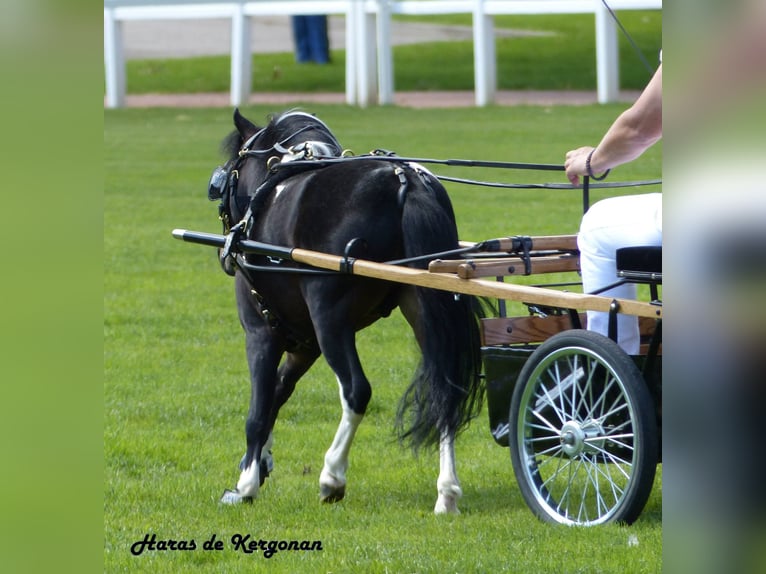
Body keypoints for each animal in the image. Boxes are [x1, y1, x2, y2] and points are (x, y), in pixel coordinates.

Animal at [207, 108, 484, 514]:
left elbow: (258, 408)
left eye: (228, 173)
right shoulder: (304, 343)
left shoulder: (262, 331)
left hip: (330, 319)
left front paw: (246, 485)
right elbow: (278, 392)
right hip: (422, 306)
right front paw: (259, 462)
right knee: (445, 386)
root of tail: (403, 180)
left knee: (356, 390)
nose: (225, 250)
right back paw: (447, 492)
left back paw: (332, 476)